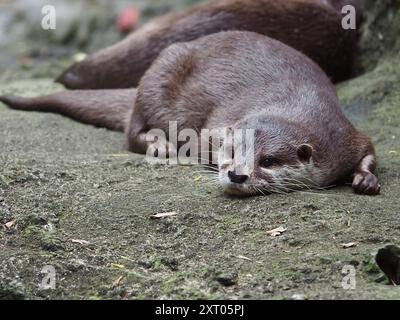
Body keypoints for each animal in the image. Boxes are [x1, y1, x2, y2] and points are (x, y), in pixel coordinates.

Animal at [0, 31, 382, 195]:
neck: (294, 105)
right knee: (131, 131)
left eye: (269, 161)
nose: (237, 175)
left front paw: (365, 179)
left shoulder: (342, 134)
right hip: (157, 77)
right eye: (231, 152)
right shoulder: (213, 130)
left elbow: (370, 151)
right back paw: (161, 146)